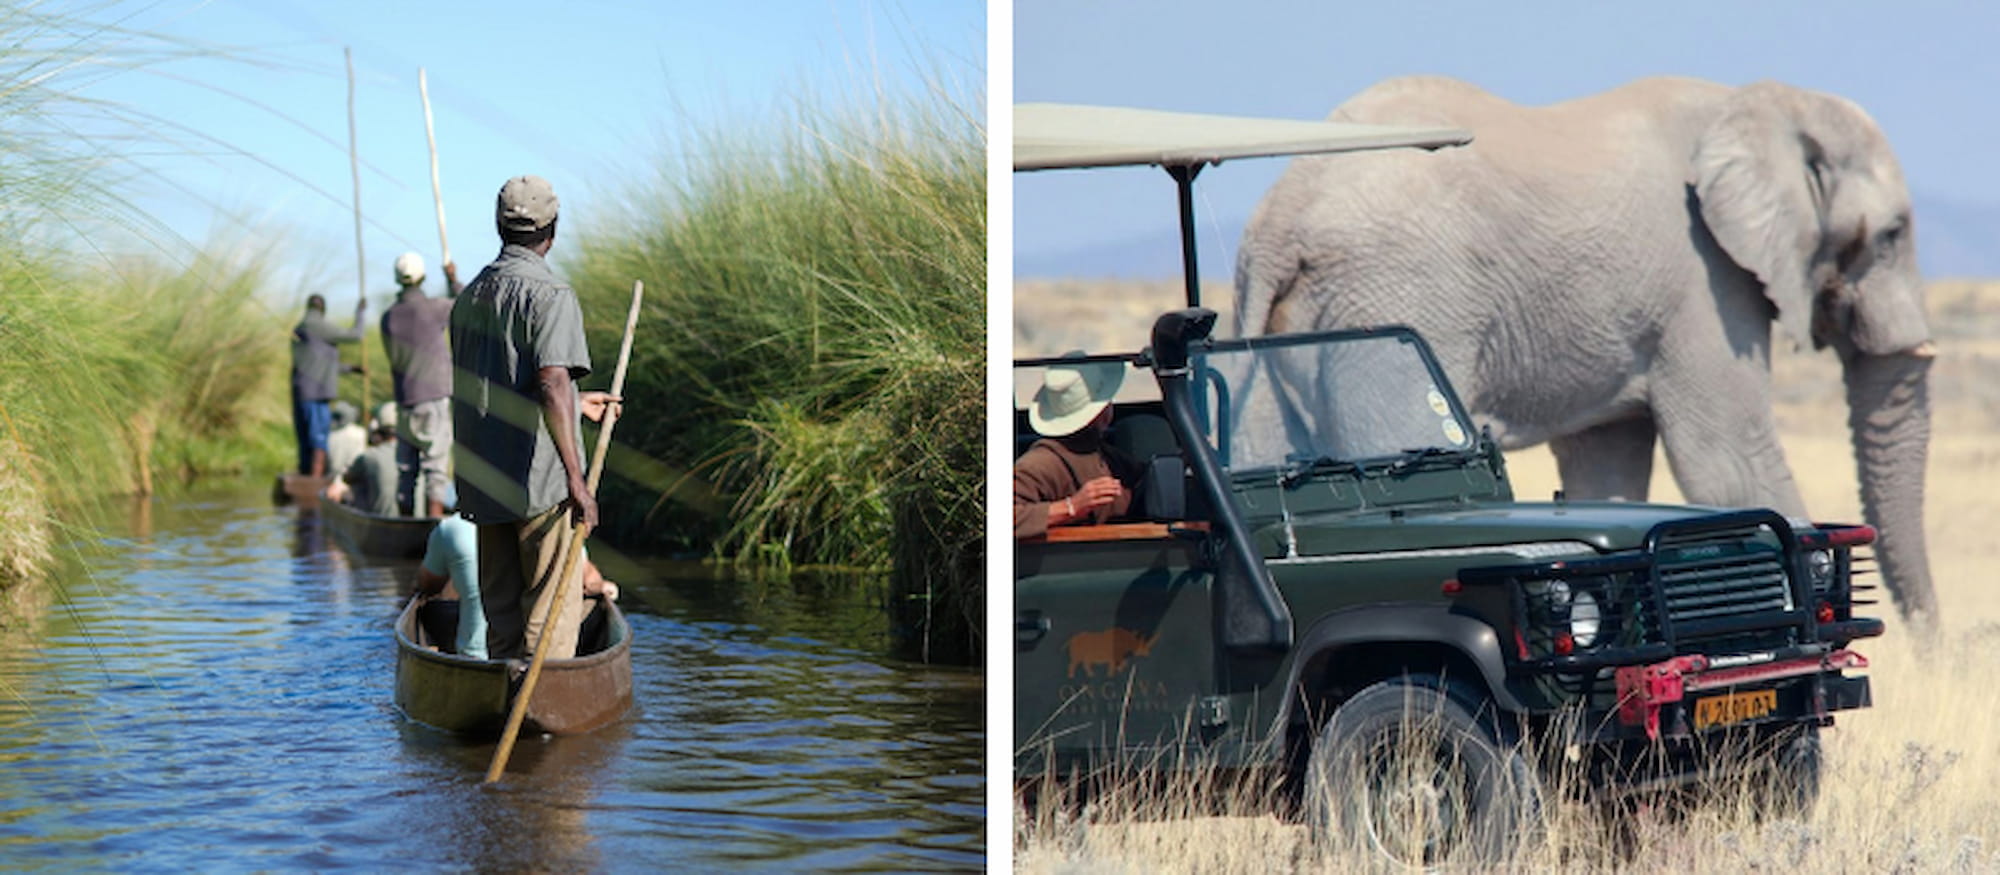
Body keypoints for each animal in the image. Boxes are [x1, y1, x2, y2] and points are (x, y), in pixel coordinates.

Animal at [1234, 76, 1936, 625]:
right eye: (1891, 234)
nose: (1933, 653)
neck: (1750, 102)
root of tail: (1278, 216)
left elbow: (1606, 465)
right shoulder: (1703, 280)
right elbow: (1726, 460)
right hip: (1396, 297)